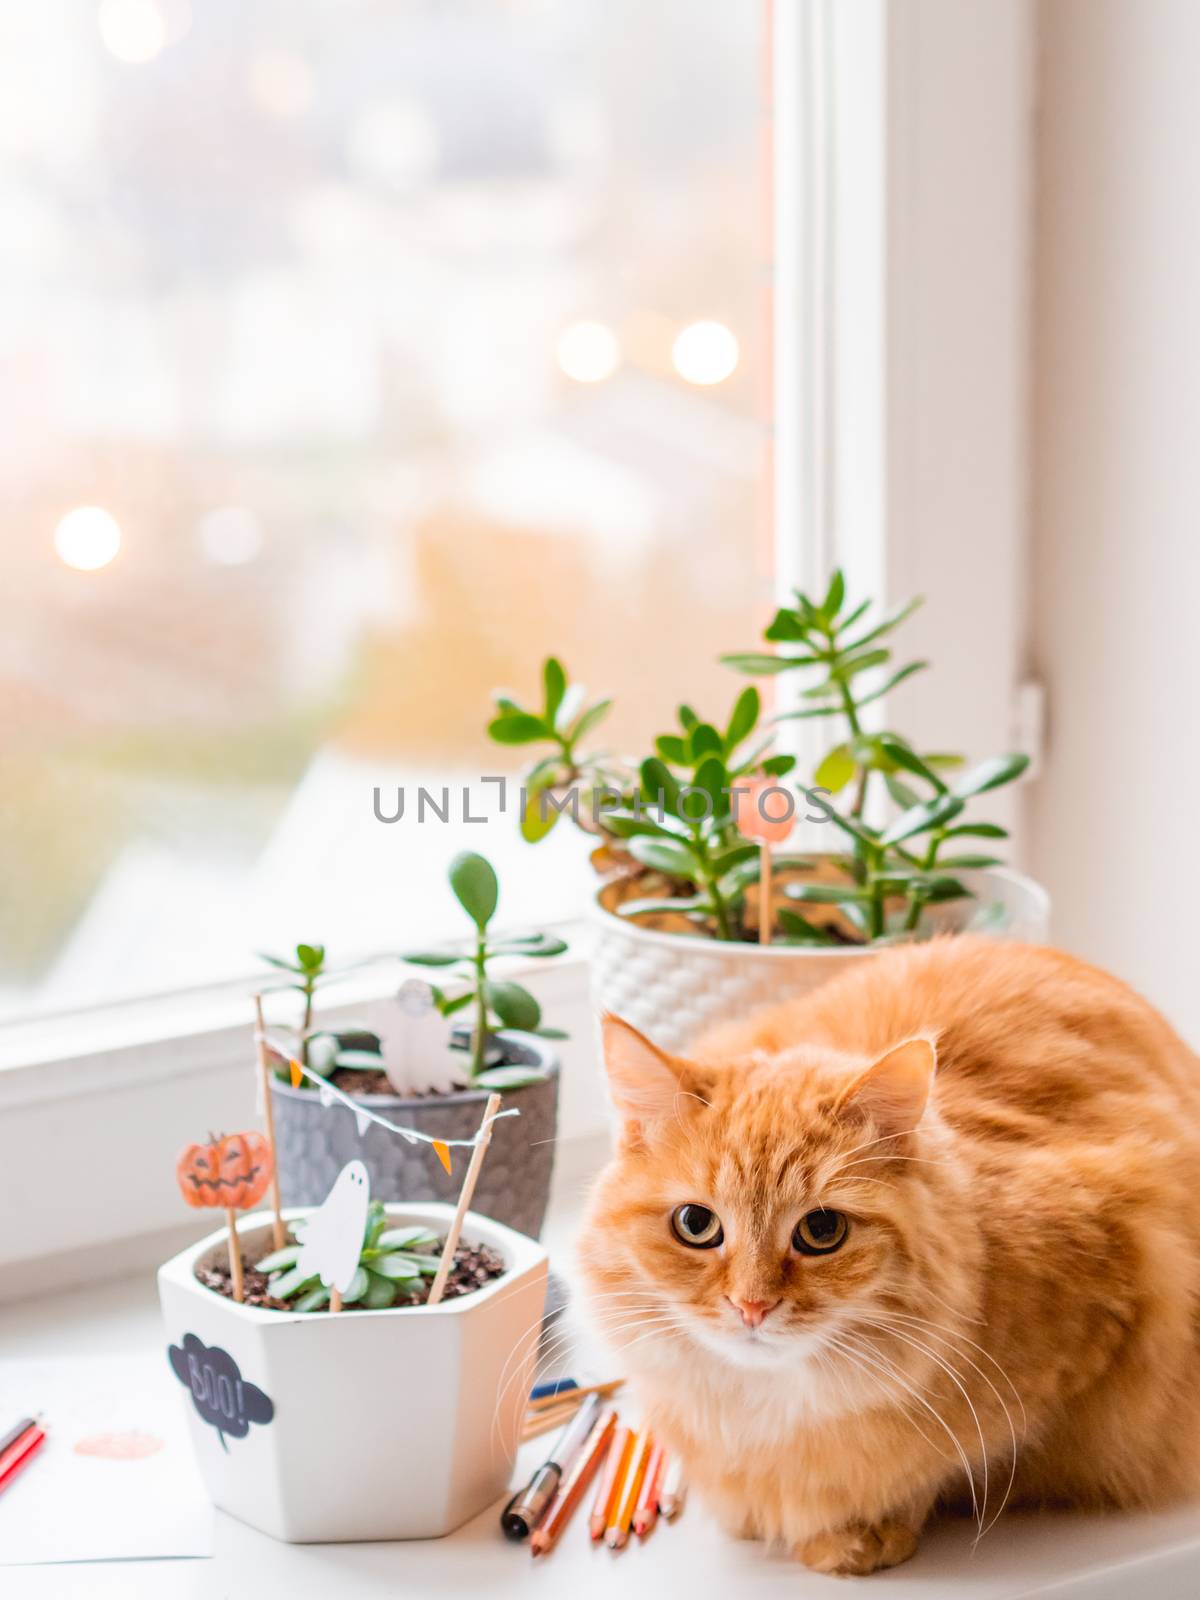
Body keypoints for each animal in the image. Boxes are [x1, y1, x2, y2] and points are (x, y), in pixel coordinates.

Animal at [579, 934, 1200, 1574]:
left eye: (821, 1230)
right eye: (696, 1225)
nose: (752, 1307)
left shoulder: (1114, 1311)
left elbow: (947, 1466)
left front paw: (864, 1535)